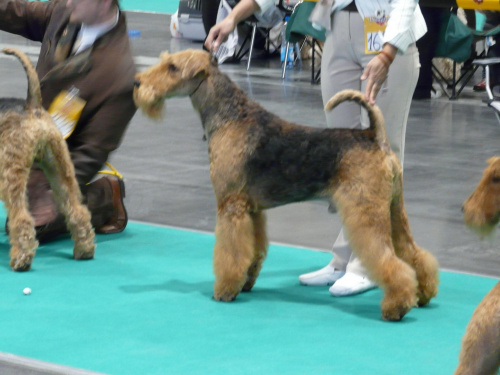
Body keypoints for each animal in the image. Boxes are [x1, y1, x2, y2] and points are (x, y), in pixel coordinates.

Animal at [0, 48, 95, 272]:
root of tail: (32, 106)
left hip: (11, 174)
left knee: (22, 219)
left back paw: (20, 259)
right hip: (60, 168)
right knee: (77, 211)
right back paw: (84, 250)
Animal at [133, 48, 438, 322]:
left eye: (172, 67)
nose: (137, 83)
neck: (230, 117)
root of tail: (374, 136)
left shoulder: (231, 205)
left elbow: (230, 253)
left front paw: (225, 290)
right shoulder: (252, 210)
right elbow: (253, 251)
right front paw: (246, 282)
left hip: (365, 212)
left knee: (389, 260)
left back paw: (396, 306)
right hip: (394, 210)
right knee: (414, 254)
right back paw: (423, 294)